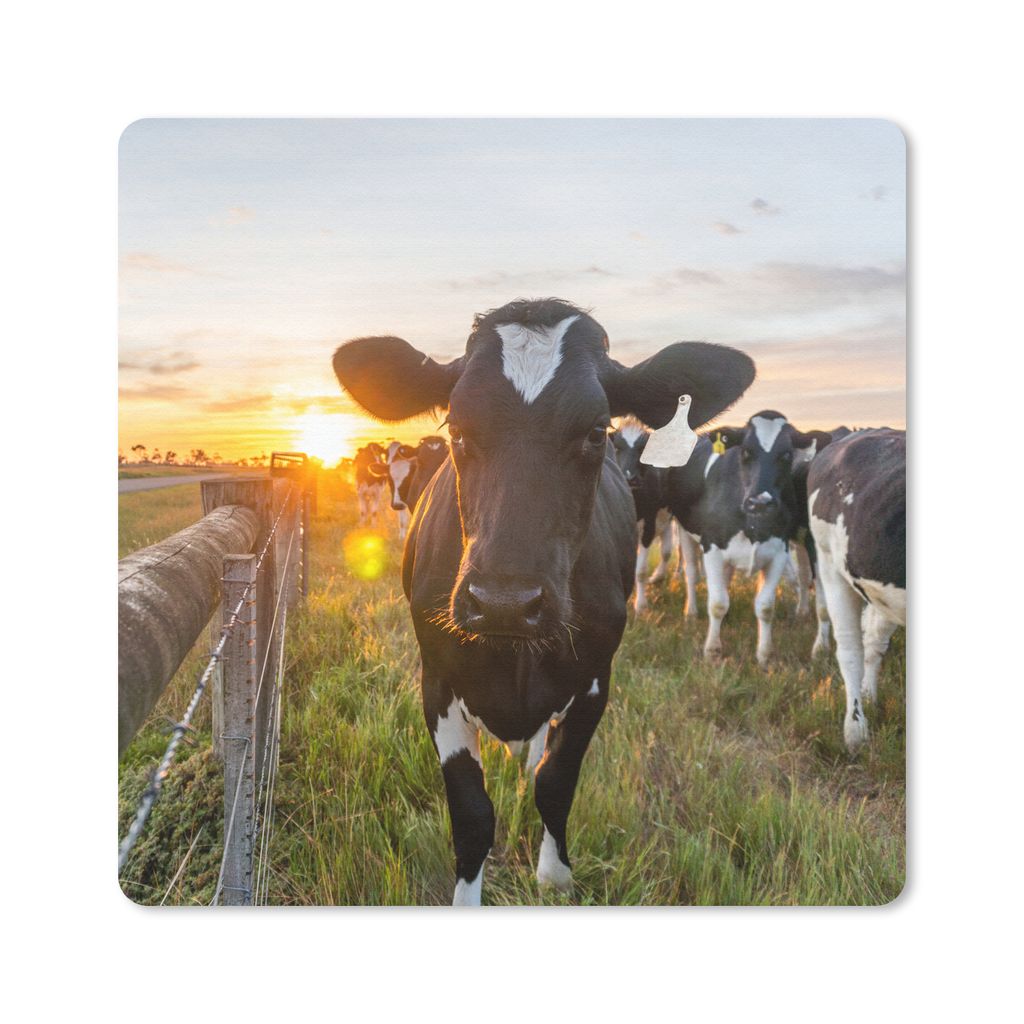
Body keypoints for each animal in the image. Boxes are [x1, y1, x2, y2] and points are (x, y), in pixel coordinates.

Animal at [610, 419, 699, 616]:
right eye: (617, 447)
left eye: (643, 449)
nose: (630, 478)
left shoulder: (649, 525)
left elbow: (641, 571)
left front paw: (641, 606)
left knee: (670, 550)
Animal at [667, 411, 829, 666]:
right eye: (745, 451)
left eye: (787, 454)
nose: (760, 502)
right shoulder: (712, 546)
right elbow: (717, 603)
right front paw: (712, 651)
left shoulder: (778, 551)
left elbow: (765, 606)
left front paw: (764, 655)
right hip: (684, 529)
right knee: (691, 572)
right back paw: (691, 613)